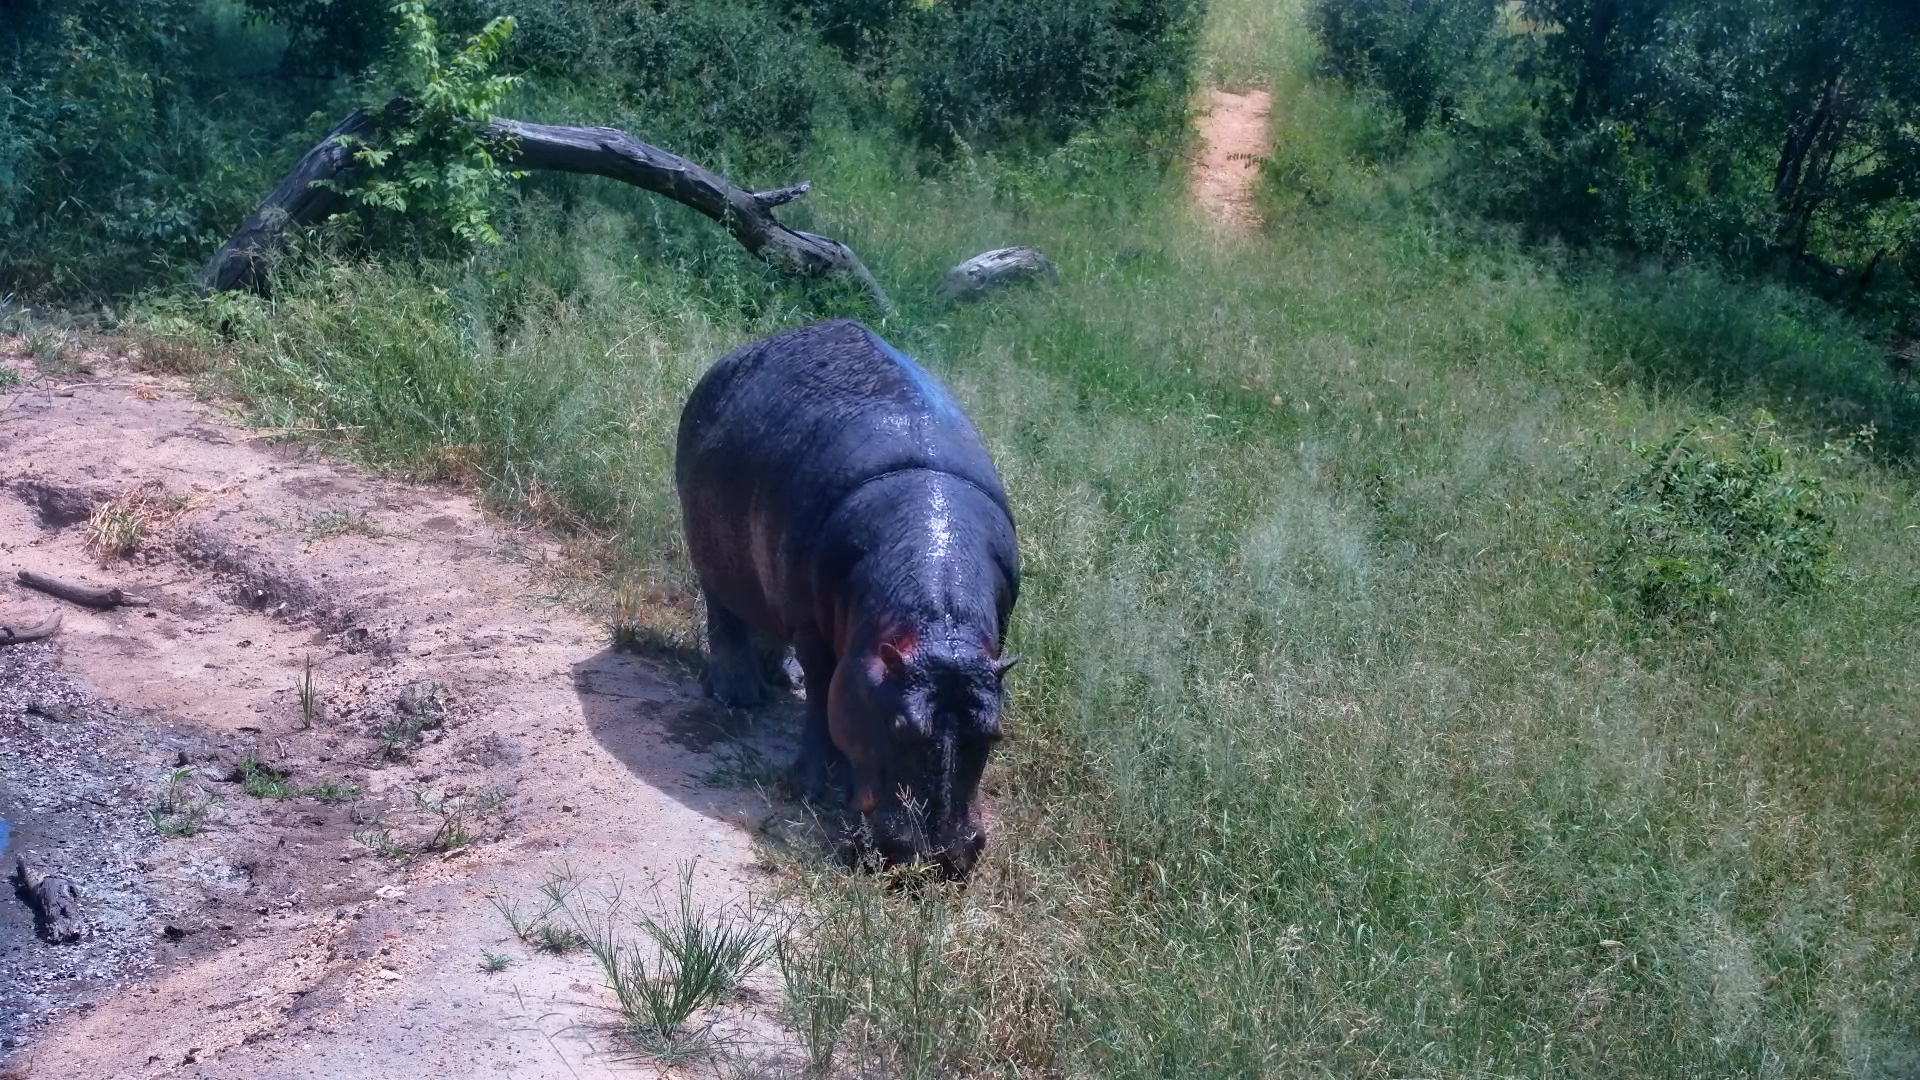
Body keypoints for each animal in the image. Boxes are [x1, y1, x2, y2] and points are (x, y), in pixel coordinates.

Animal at [674, 318, 1020, 879]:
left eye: (995, 734)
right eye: (899, 726)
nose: (936, 859)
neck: (935, 629)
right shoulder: (814, 628)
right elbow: (822, 694)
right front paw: (816, 785)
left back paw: (780, 678)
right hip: (712, 554)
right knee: (725, 614)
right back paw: (739, 693)